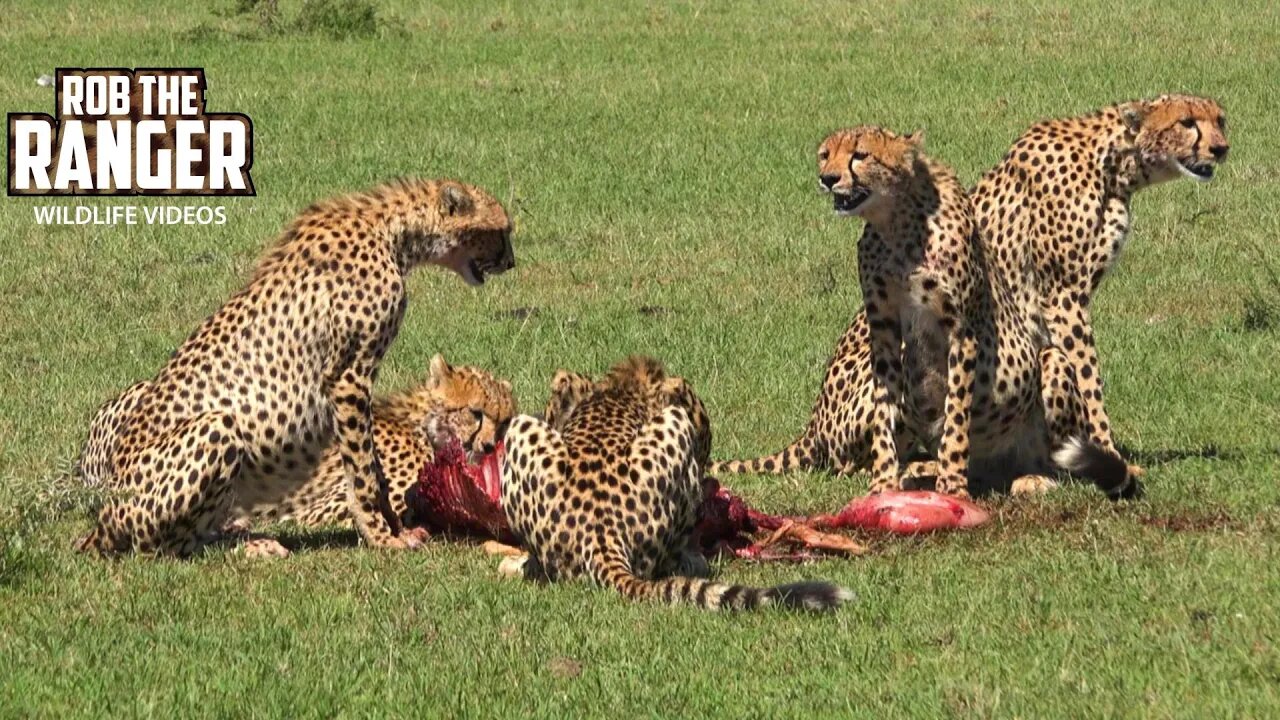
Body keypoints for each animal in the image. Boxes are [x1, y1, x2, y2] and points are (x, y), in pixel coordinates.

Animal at [499, 356, 849, 607]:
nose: (710, 479)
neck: (625, 388)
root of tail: (600, 531)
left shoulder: (569, 381)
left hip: (519, 427)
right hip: (672, 423)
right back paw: (691, 560)